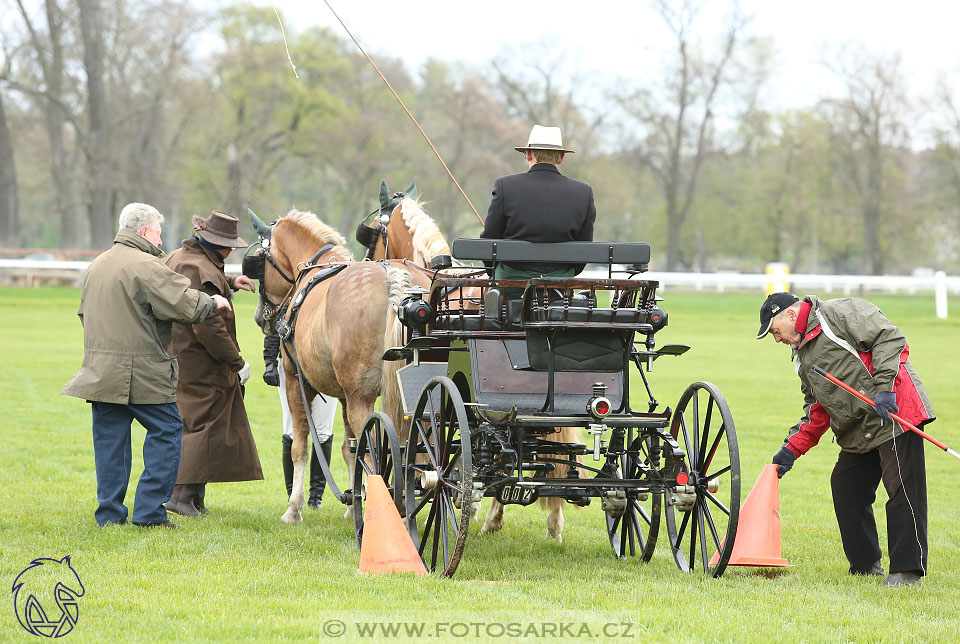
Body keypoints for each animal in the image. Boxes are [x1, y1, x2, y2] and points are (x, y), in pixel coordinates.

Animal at [249, 209, 430, 524]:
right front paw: (351, 503)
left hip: (360, 399)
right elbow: (348, 448)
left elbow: (300, 446)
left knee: (373, 452)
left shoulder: (297, 382)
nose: (261, 316)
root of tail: (393, 276)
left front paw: (293, 509)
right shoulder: (345, 395)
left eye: (261, 261)